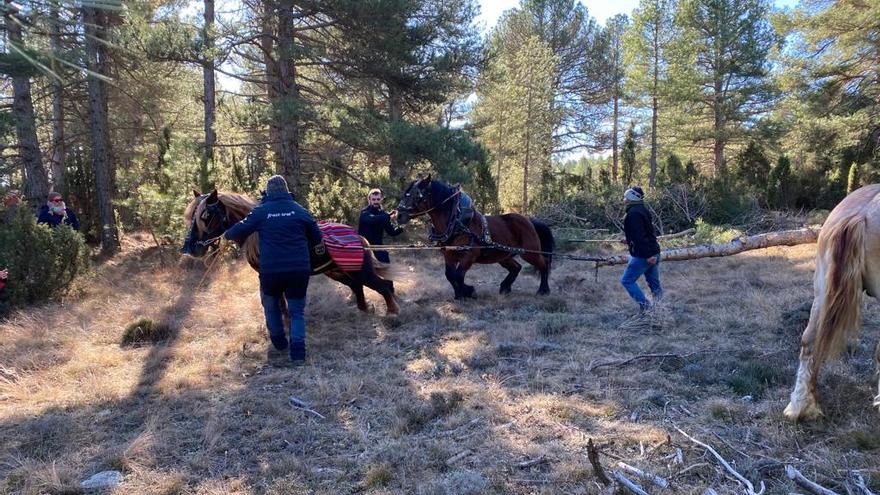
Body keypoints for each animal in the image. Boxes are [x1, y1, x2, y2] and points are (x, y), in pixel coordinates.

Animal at [181, 190, 398, 314]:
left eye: (206, 215)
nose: (190, 248)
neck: (258, 233)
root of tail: (358, 238)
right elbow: (281, 304)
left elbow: (280, 304)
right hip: (337, 271)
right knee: (358, 286)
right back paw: (365, 308)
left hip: (360, 270)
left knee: (382, 286)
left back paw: (393, 312)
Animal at [396, 174, 552, 298]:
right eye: (405, 193)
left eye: (416, 195)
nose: (399, 215)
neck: (457, 221)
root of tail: (530, 220)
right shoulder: (448, 255)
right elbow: (450, 275)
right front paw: (460, 295)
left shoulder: (469, 255)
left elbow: (458, 275)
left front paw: (469, 291)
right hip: (504, 255)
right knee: (516, 268)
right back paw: (505, 288)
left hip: (530, 253)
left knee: (543, 264)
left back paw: (543, 290)